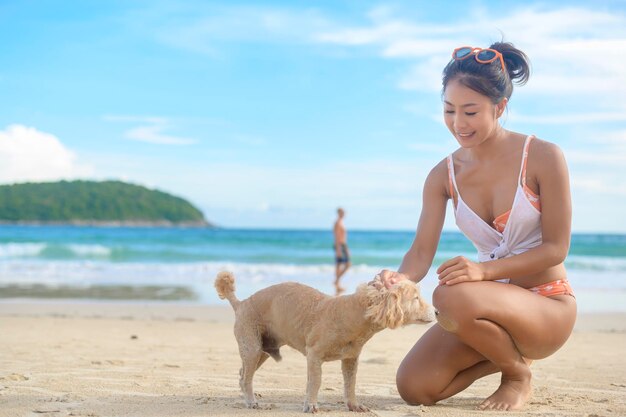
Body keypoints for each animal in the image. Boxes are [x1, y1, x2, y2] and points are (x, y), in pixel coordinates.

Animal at [212, 272, 432, 412]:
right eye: (416, 298)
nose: (436, 311)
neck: (354, 313)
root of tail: (240, 303)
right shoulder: (314, 355)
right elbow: (315, 382)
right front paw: (310, 405)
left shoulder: (350, 359)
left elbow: (350, 384)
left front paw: (353, 406)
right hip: (252, 347)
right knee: (246, 377)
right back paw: (251, 402)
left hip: (262, 351)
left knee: (242, 374)